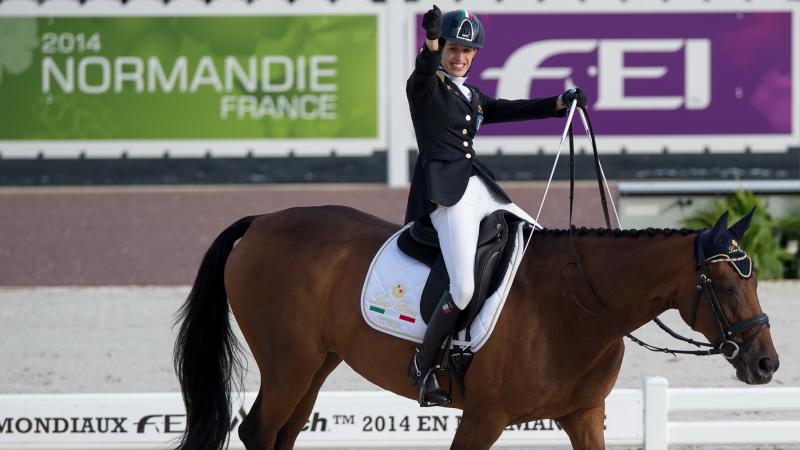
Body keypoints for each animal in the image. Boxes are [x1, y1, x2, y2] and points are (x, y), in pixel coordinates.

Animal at [172, 206, 780, 448]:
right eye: (724, 286)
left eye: (754, 280)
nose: (766, 363)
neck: (578, 303)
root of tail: (262, 222)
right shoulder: (484, 418)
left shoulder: (584, 416)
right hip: (288, 364)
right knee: (257, 432)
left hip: (315, 365)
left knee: (283, 434)